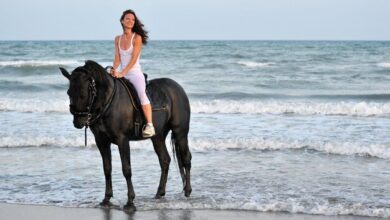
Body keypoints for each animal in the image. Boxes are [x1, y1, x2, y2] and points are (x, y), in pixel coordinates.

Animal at [59, 60, 192, 211]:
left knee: (186, 158)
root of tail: (178, 88)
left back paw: (187, 191)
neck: (108, 102)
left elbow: (126, 169)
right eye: (69, 92)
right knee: (164, 160)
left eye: (83, 93)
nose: (78, 122)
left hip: (180, 132)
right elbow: (107, 169)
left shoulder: (122, 140)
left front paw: (130, 202)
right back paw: (159, 193)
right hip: (157, 137)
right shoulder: (102, 141)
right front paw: (106, 199)